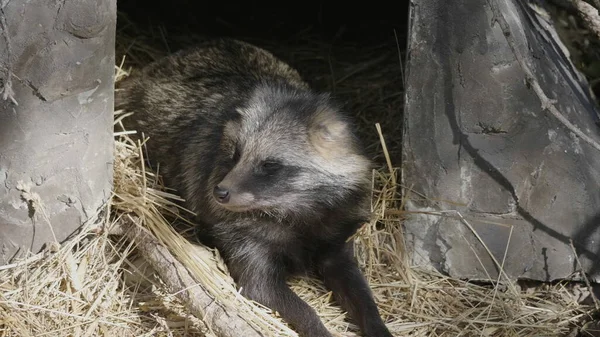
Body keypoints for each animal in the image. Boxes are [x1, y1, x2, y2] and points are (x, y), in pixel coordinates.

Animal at [116, 38, 394, 336]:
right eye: (235, 154)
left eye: (269, 165)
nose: (220, 193)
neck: (298, 212)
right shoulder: (243, 240)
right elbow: (270, 289)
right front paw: (316, 326)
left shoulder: (338, 233)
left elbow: (361, 293)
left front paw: (377, 323)